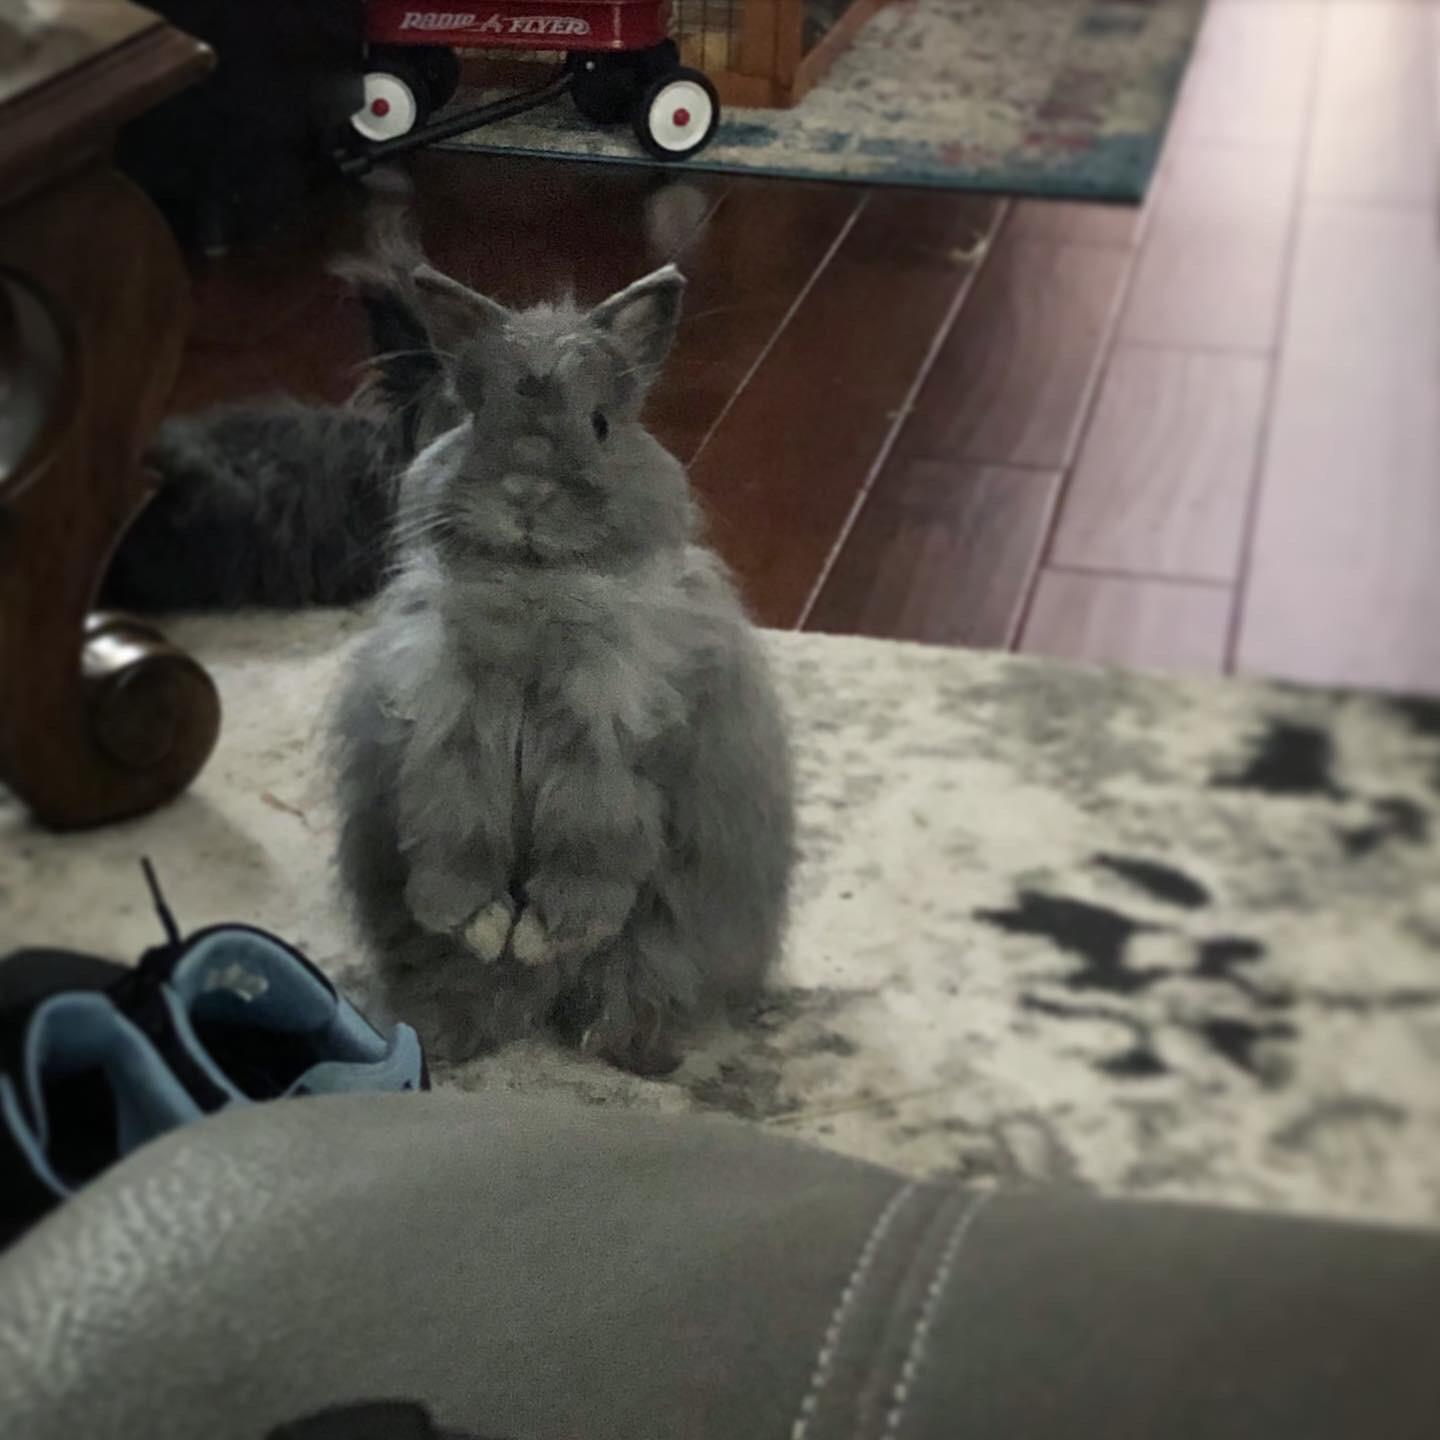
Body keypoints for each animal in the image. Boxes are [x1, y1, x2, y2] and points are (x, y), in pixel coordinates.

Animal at [330, 259, 795, 1075]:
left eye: (602, 425)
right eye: (474, 414)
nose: (525, 493)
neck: (533, 599)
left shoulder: (607, 744)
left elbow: (592, 846)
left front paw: (541, 935)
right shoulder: (447, 734)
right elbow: (454, 837)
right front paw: (486, 927)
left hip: (664, 946)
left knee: (634, 989)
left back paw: (636, 1050)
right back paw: (444, 1040)